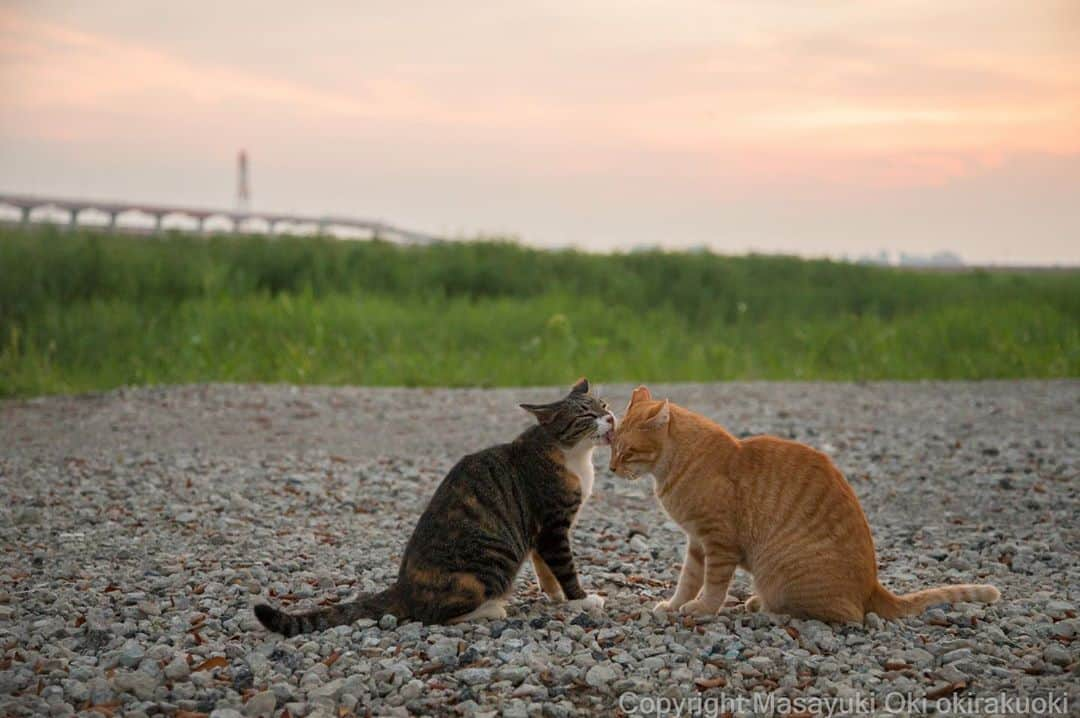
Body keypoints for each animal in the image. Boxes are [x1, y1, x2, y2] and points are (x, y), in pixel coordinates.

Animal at [250, 377, 609, 634]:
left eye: (603, 404)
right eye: (587, 416)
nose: (610, 417)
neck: (573, 454)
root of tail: (404, 587)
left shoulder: (539, 533)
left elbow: (544, 567)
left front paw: (555, 595)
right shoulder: (552, 524)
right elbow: (564, 566)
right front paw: (581, 599)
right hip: (493, 558)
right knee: (434, 615)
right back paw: (490, 608)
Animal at [613, 386, 997, 621]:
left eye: (627, 451)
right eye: (611, 444)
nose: (611, 468)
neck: (675, 466)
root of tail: (872, 588)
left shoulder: (718, 542)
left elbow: (714, 584)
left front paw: (703, 608)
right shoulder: (697, 541)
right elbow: (689, 578)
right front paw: (675, 604)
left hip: (782, 571)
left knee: (842, 615)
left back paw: (767, 608)